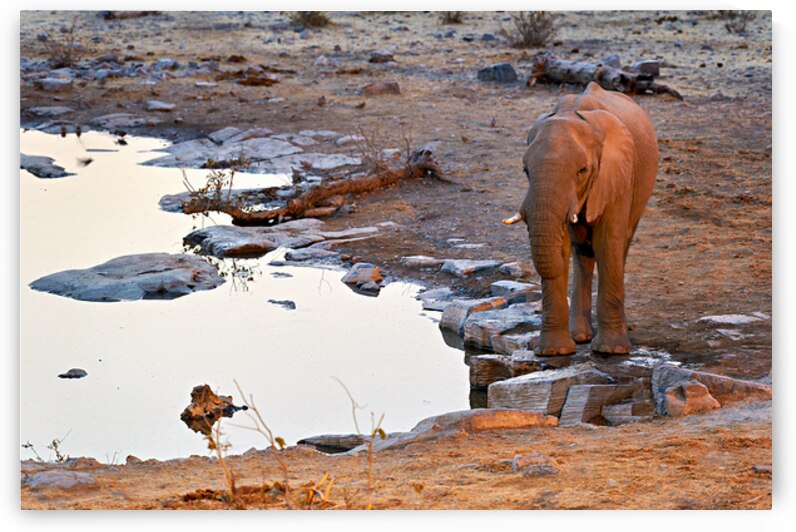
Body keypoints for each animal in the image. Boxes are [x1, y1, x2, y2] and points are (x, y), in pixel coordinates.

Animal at [504, 82, 658, 355]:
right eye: (525, 170)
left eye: (582, 171)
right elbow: (564, 245)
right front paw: (553, 352)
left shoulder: (617, 175)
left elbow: (607, 243)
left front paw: (611, 351)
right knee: (581, 254)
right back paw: (581, 336)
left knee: (620, 245)